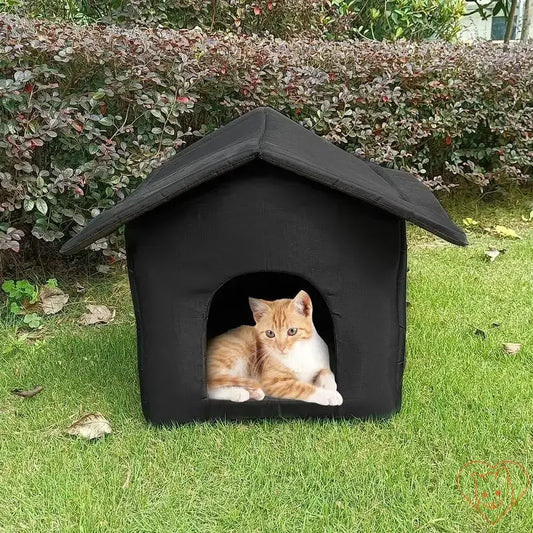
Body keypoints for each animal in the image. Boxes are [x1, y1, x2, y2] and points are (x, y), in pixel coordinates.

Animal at [206, 288, 342, 406]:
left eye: (292, 331)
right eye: (270, 333)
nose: (281, 347)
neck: (298, 352)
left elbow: (327, 373)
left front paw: (331, 387)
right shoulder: (272, 383)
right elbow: (302, 387)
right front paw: (329, 395)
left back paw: (253, 392)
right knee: (210, 385)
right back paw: (239, 392)